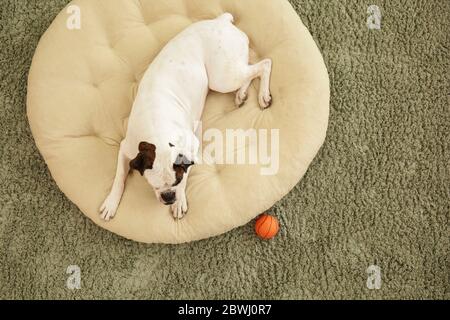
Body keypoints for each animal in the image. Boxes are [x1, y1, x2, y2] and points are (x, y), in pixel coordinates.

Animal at [100, 12, 272, 220]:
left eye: (177, 181)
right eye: (155, 186)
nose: (168, 197)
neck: (157, 132)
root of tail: (222, 21)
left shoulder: (191, 147)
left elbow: (188, 171)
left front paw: (180, 200)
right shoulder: (126, 148)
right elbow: (119, 177)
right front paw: (111, 203)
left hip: (221, 78)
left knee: (264, 65)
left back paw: (262, 95)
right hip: (228, 74)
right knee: (249, 72)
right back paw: (241, 94)